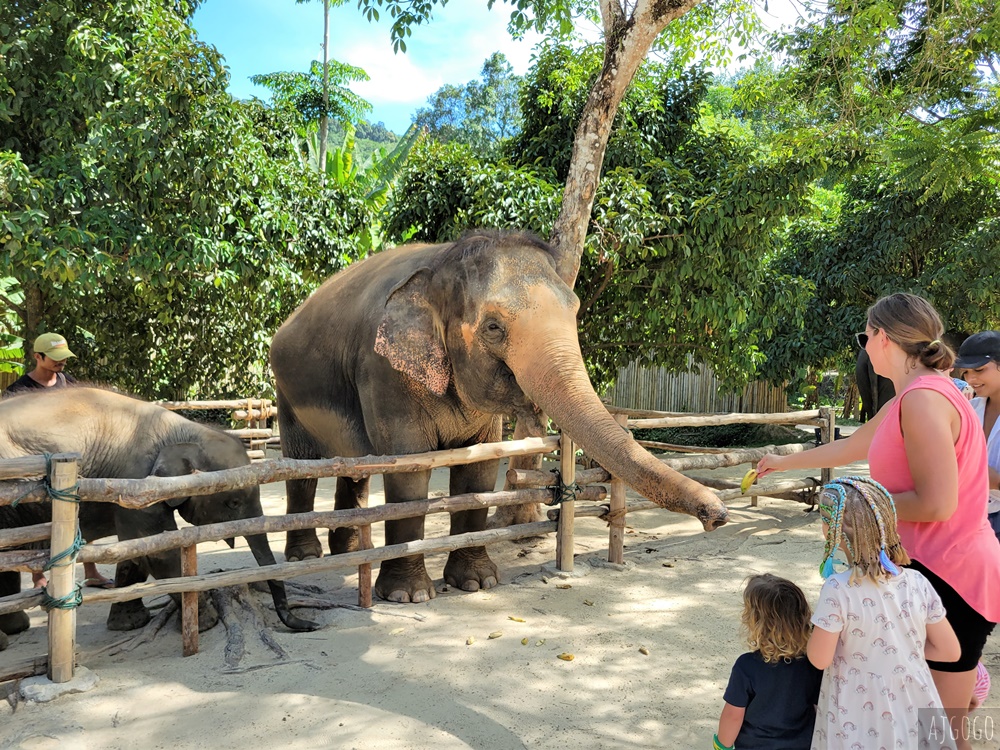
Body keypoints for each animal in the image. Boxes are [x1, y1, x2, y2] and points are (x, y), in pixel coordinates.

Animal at [0, 384, 318, 648]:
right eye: (234, 502)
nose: (310, 625)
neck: (183, 430)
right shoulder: (138, 482)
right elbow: (156, 549)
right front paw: (206, 621)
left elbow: (134, 550)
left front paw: (129, 623)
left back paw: (16, 628)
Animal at [272, 229, 728, 604]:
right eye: (493, 327)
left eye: (575, 309)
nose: (718, 516)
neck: (442, 260)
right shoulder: (383, 371)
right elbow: (410, 467)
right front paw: (408, 596)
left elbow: (481, 466)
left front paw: (477, 583)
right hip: (285, 395)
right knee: (302, 467)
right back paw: (305, 557)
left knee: (355, 468)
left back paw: (350, 551)